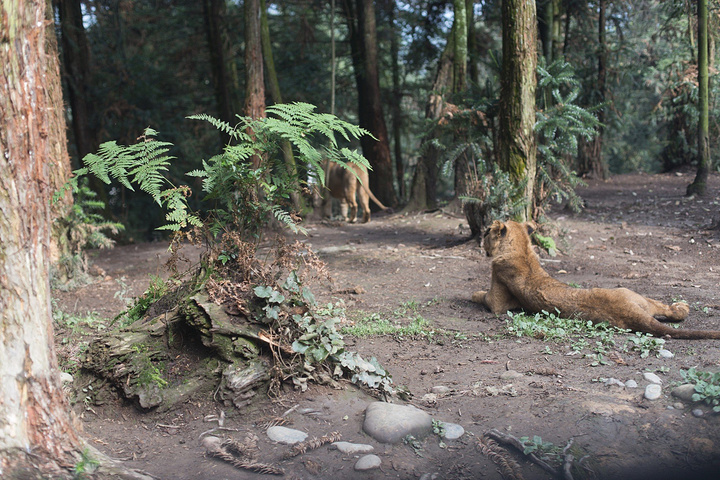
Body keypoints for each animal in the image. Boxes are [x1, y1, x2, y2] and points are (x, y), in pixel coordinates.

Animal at [472, 219, 720, 340]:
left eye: (486, 232)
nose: (481, 237)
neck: (522, 248)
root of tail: (632, 311)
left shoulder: (497, 303)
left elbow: (480, 295)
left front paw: (472, 294)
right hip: (634, 294)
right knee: (665, 308)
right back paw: (682, 307)